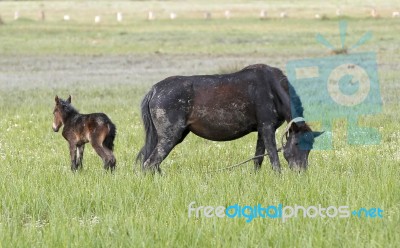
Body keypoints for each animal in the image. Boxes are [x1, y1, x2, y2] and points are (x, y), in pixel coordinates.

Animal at [136, 64, 324, 172]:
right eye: (297, 143)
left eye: (310, 147)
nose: (301, 172)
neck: (273, 88)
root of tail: (154, 89)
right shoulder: (267, 127)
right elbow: (273, 158)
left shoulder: (262, 130)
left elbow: (258, 158)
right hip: (170, 136)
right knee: (150, 163)